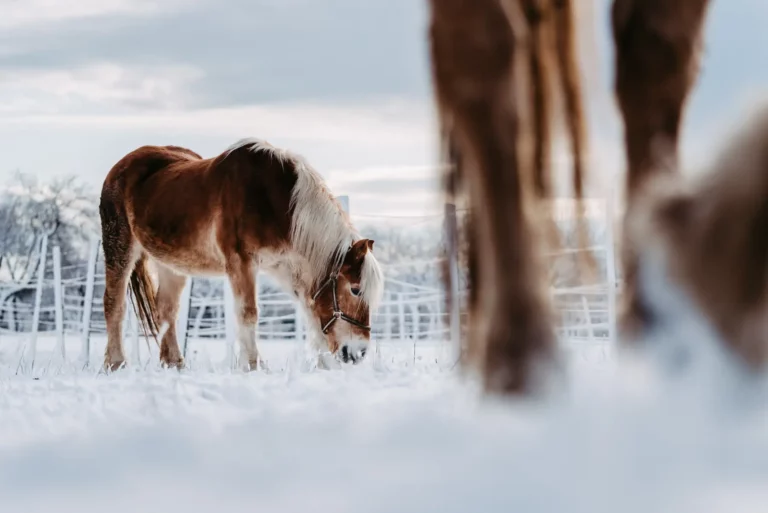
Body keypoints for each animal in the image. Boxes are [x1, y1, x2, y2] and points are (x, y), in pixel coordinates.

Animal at [98, 138, 384, 370]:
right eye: (355, 289)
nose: (358, 352)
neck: (272, 200)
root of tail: (119, 168)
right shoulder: (241, 262)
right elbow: (248, 312)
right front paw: (252, 365)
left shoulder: (288, 267)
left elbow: (312, 313)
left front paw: (325, 367)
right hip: (119, 247)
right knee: (114, 304)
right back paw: (116, 363)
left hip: (171, 264)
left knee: (166, 311)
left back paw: (174, 364)